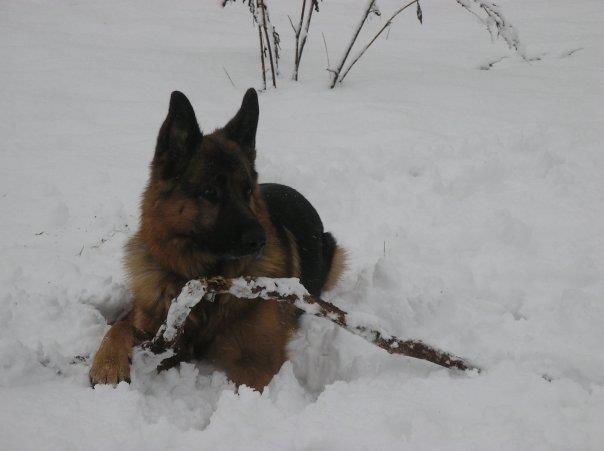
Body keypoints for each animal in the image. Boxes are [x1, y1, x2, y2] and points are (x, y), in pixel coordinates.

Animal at [89, 90, 344, 390]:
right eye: (211, 192)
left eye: (247, 191)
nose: (261, 240)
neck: (206, 287)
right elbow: (119, 326)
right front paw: (107, 363)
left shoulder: (257, 363)